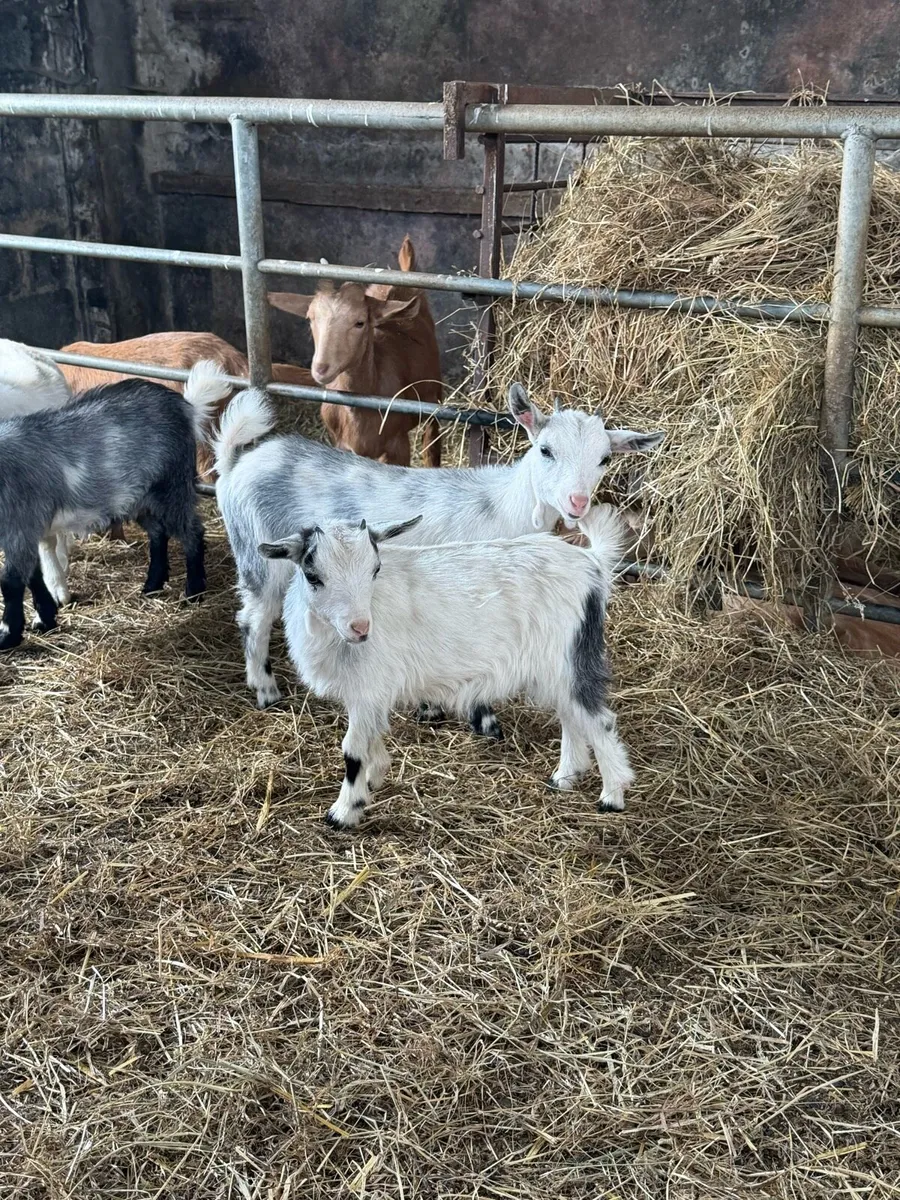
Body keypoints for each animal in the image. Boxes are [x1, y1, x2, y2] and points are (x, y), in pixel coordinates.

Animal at [0, 361, 230, 651]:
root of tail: (186, 407)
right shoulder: (24, 531)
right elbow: (32, 576)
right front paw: (45, 620)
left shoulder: (20, 525)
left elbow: (11, 583)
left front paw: (9, 636)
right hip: (140, 498)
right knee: (158, 533)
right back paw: (153, 585)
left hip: (172, 486)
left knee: (192, 533)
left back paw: (193, 592)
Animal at [214, 381, 664, 726]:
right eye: (545, 450)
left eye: (604, 458)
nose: (577, 502)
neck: (503, 505)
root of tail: (238, 462)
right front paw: (477, 715)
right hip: (260, 557)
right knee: (253, 619)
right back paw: (266, 690)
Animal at [259, 504, 632, 829]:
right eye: (312, 576)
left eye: (375, 569)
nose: (360, 628)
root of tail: (591, 562)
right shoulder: (370, 693)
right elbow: (372, 738)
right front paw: (376, 775)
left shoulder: (368, 688)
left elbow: (353, 750)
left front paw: (344, 811)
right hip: (555, 666)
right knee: (571, 715)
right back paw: (565, 776)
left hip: (569, 655)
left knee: (597, 719)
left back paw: (612, 795)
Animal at [268, 235, 443, 468]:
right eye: (310, 318)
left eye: (360, 323)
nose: (321, 368)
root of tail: (404, 272)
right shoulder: (343, 446)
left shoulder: (398, 446)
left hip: (434, 394)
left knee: (432, 436)